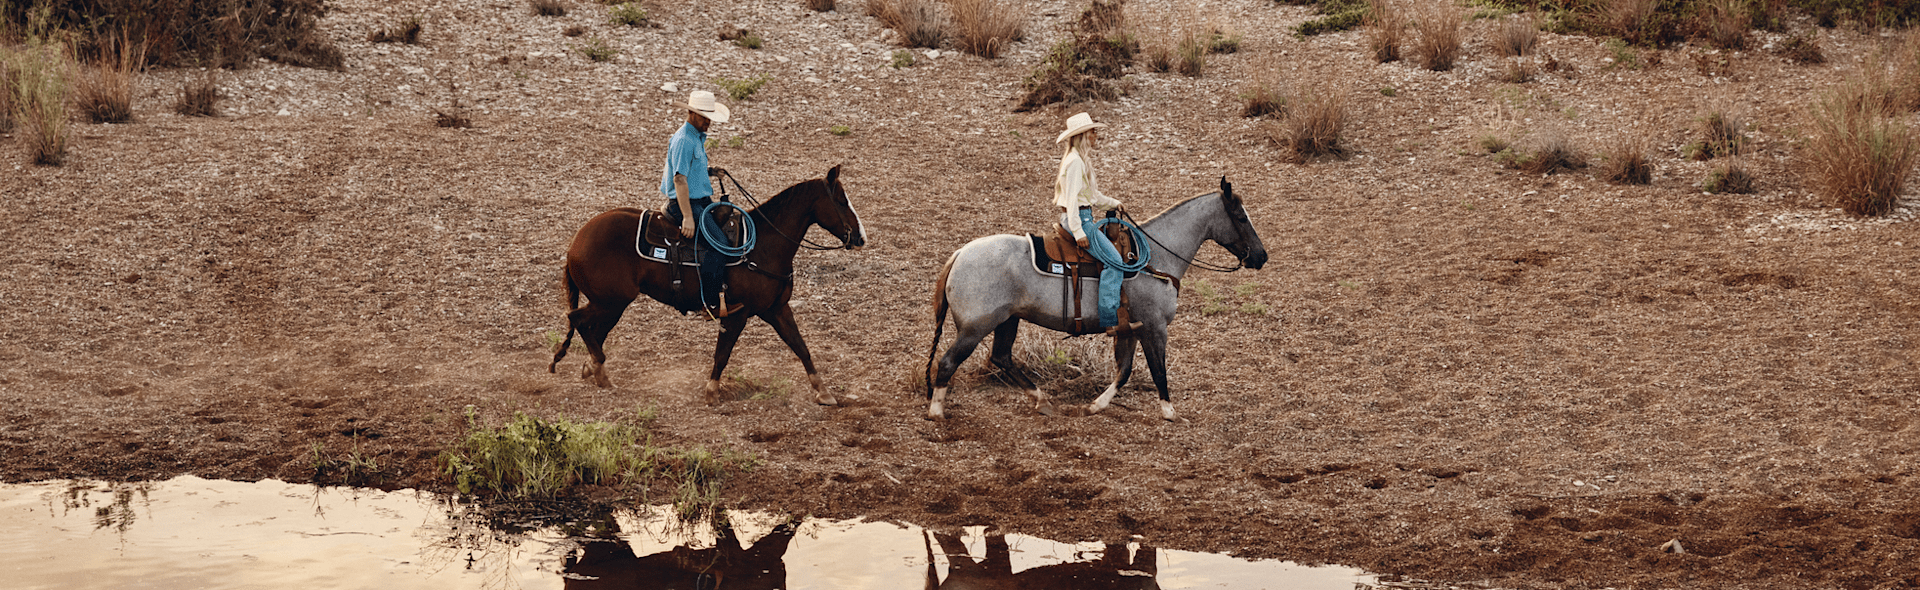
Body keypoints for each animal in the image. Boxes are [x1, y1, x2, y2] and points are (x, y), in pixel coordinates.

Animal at [550, 165, 866, 405]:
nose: (860, 237)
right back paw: (600, 371)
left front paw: (823, 391)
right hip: (612, 300)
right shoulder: (737, 313)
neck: (762, 245)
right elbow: (722, 353)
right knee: (578, 319)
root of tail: (576, 241)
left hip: (611, 303)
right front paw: (712, 391)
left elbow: (801, 347)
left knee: (594, 329)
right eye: (841, 200)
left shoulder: (777, 308)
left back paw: (594, 368)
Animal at [924, 177, 1267, 421]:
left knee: (1002, 357)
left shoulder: (1130, 328)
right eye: (1240, 216)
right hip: (976, 327)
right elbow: (1157, 369)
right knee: (949, 361)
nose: (1261, 256)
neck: (1155, 259)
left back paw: (1042, 401)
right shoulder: (1154, 327)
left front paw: (1095, 406)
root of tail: (959, 254)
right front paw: (1170, 413)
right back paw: (937, 412)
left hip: (1008, 320)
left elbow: (1124, 370)